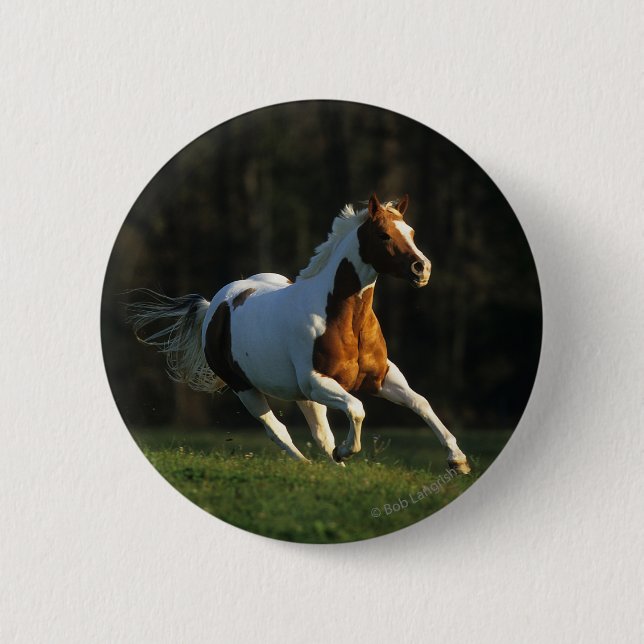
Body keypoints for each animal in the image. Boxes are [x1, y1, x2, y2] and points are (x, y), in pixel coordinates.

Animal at [127, 194, 470, 474]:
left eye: (410, 232)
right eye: (384, 234)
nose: (421, 268)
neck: (345, 321)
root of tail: (215, 305)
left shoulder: (381, 376)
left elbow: (420, 403)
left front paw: (458, 460)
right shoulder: (317, 381)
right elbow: (357, 409)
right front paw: (346, 451)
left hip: (302, 396)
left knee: (319, 433)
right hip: (247, 388)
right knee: (277, 430)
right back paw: (309, 465)